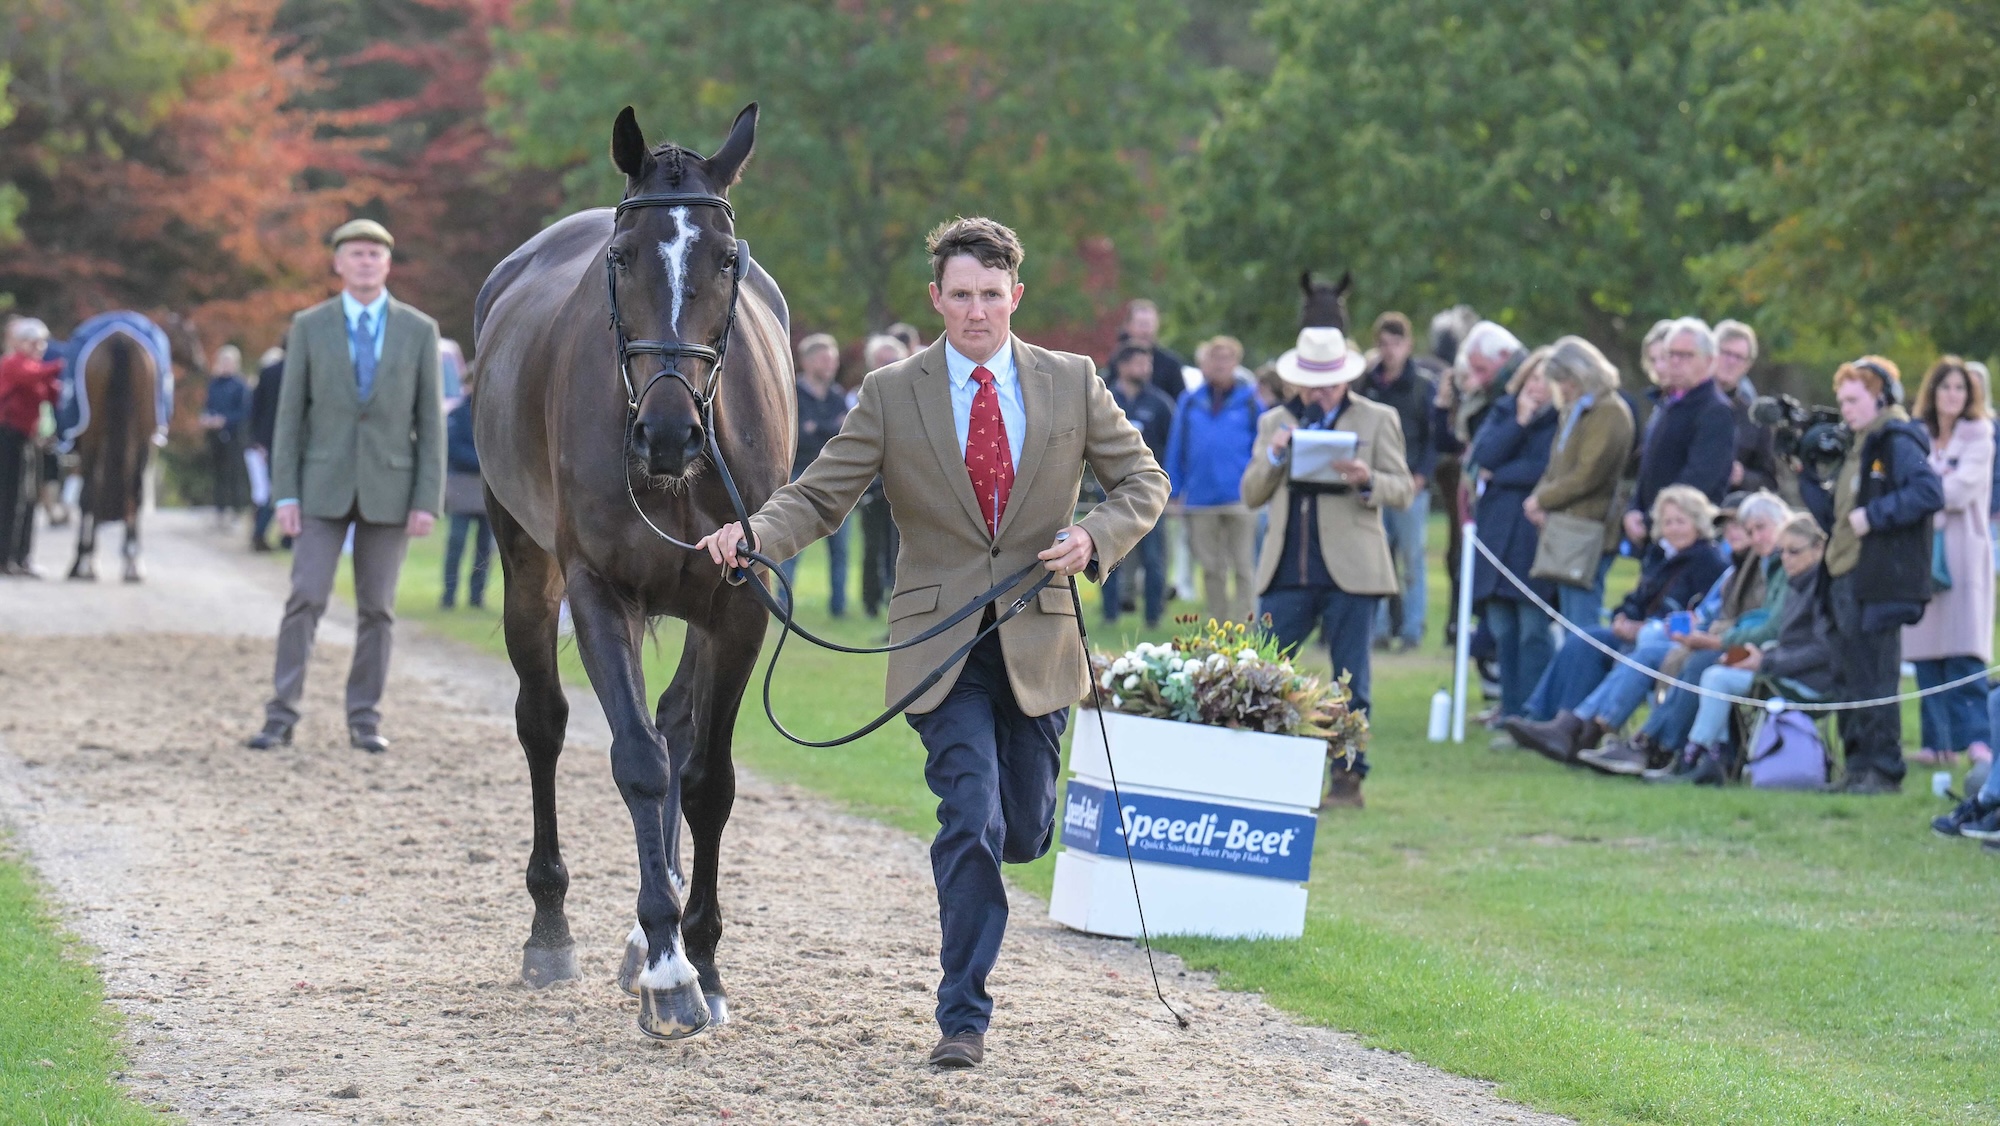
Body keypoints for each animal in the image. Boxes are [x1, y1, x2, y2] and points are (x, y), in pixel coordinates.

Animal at [68, 330, 161, 582]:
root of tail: (121, 340)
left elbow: (87, 497)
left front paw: (85, 559)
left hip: (94, 439)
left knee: (92, 492)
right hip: (140, 439)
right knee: (133, 492)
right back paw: (131, 563)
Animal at [471, 103, 793, 1041]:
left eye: (726, 259)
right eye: (622, 258)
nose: (668, 433)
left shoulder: (738, 605)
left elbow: (706, 779)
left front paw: (702, 955)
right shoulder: (596, 592)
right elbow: (638, 764)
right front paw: (667, 969)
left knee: (676, 726)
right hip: (525, 564)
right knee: (543, 722)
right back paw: (553, 930)